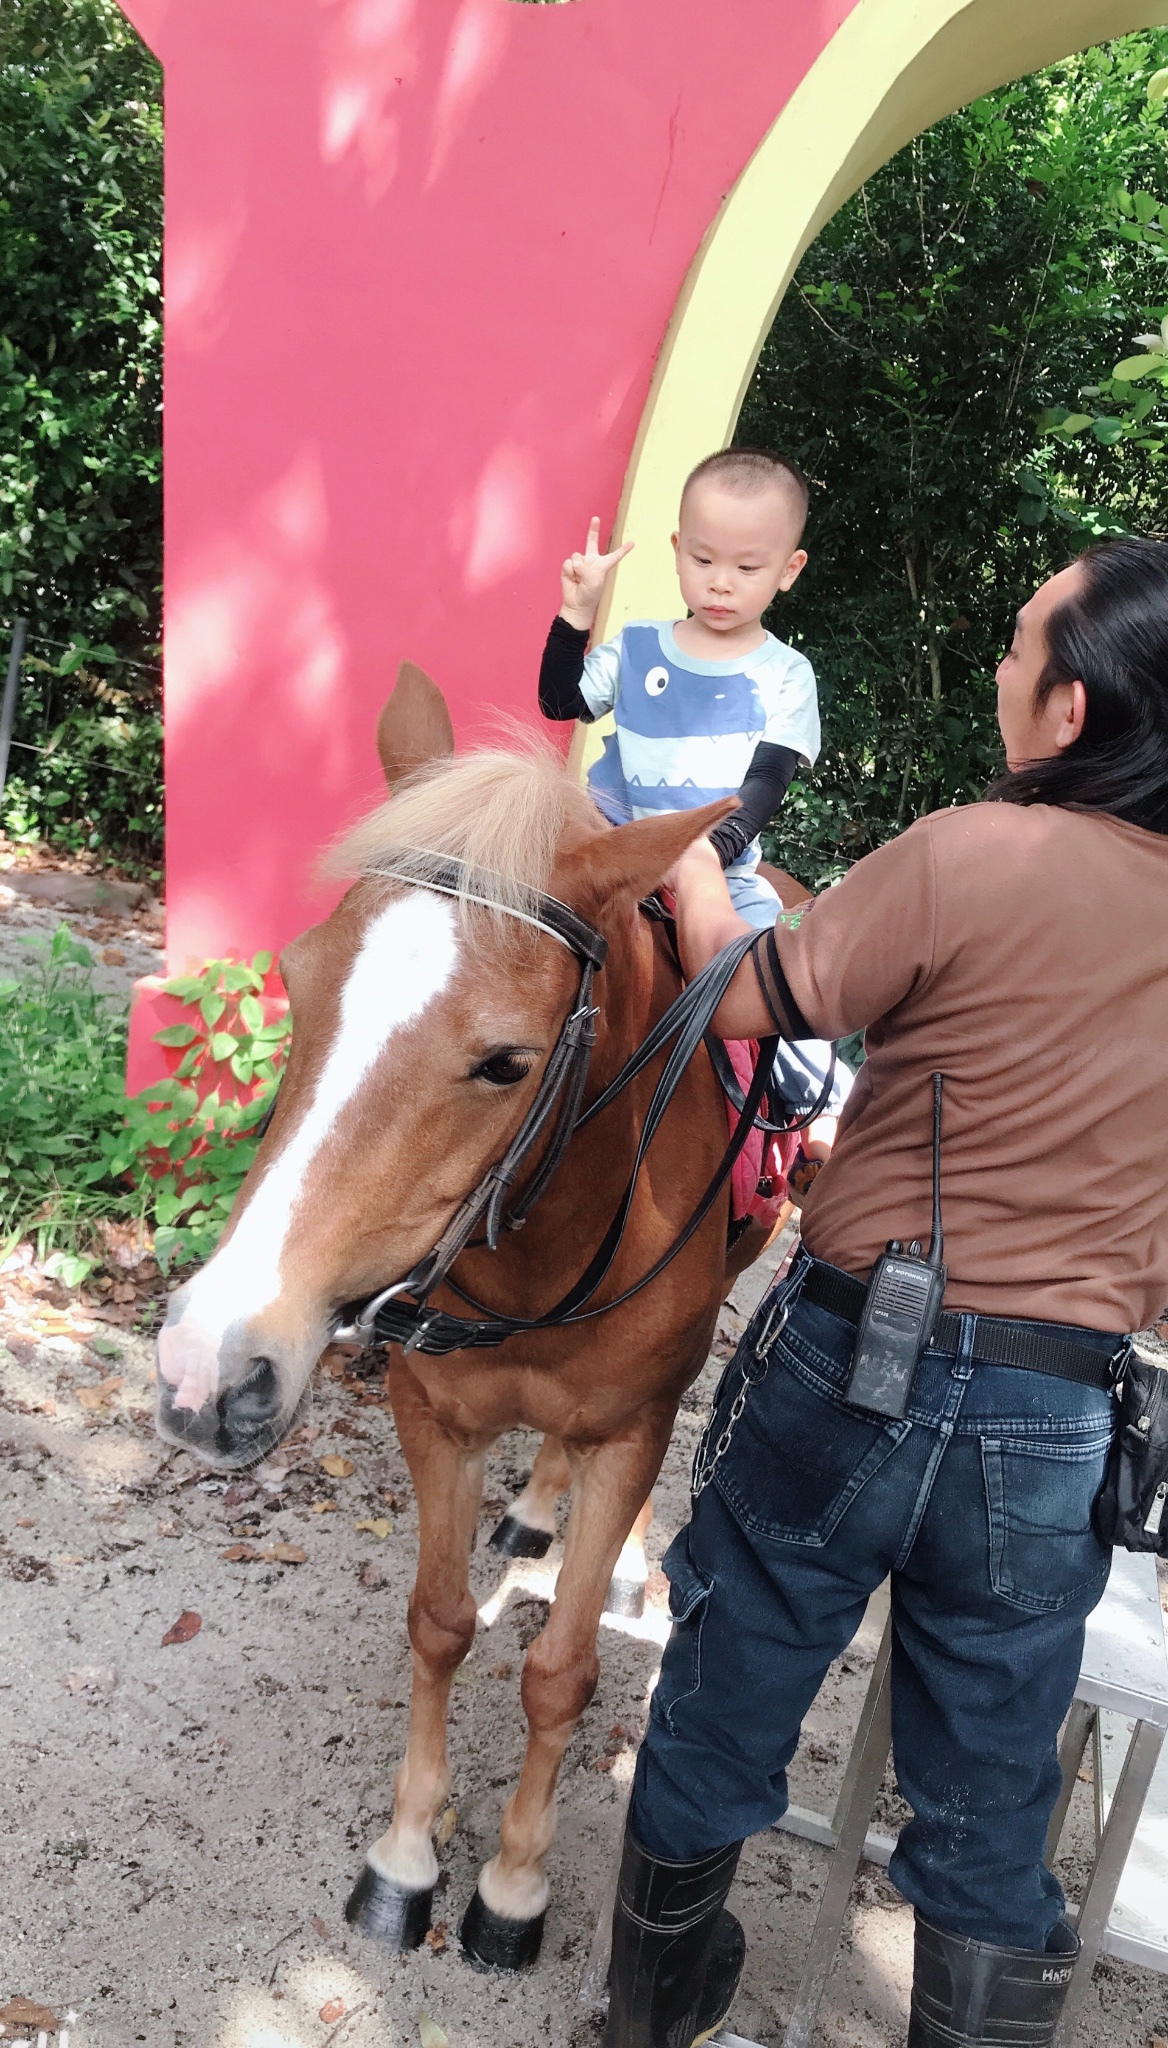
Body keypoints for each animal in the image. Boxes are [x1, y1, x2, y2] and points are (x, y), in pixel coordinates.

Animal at [154, 667, 766, 1966]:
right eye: (298, 975)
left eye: (503, 1062)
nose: (205, 1363)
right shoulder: (431, 1410)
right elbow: (437, 1622)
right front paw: (404, 1857)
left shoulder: (632, 1425)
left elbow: (559, 1670)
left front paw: (513, 1883)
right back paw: (533, 1511)